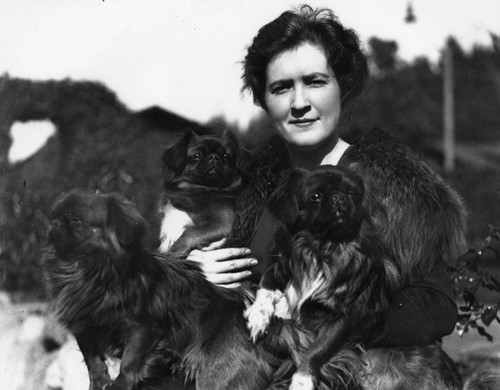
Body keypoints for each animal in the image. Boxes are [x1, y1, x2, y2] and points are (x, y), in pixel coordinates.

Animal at [43, 189, 300, 390]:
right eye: (54, 217)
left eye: (76, 221)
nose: (52, 223)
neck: (84, 273)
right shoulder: (84, 327)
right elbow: (93, 361)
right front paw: (99, 383)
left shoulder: (142, 330)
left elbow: (129, 364)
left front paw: (119, 385)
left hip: (218, 376)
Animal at [244, 165, 400, 390]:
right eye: (315, 197)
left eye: (352, 192)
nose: (339, 197)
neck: (322, 248)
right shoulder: (279, 268)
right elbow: (265, 287)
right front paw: (258, 316)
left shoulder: (342, 318)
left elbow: (317, 350)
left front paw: (302, 380)